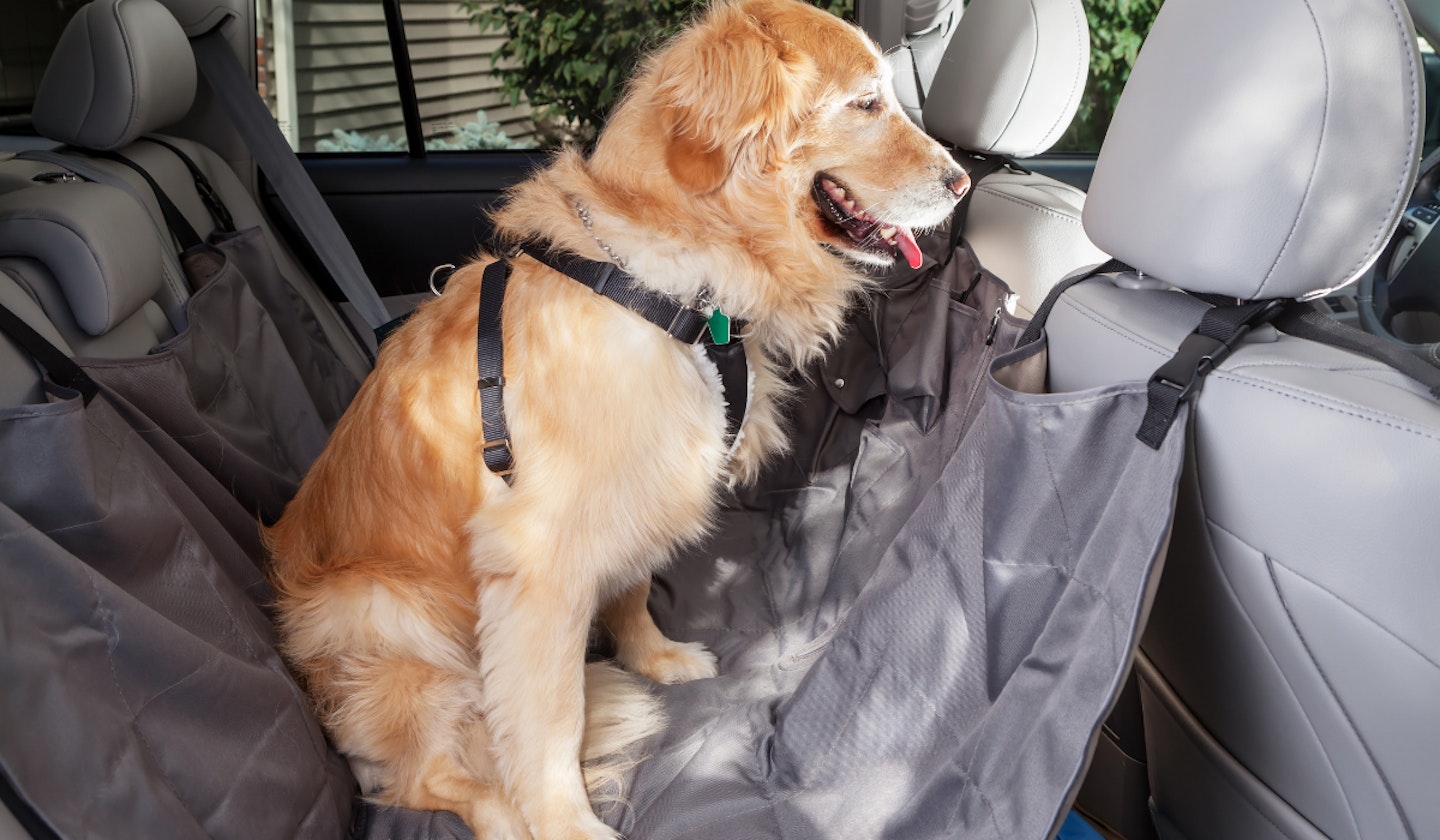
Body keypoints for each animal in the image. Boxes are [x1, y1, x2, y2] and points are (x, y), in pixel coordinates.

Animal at [267, 3, 967, 835]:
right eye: (865, 103)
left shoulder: (642, 487)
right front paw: (564, 820)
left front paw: (656, 658)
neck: (673, 289)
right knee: (429, 775)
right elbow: (550, 718)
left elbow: (632, 591)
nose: (962, 181)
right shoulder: (538, 562)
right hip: (381, 613)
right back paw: (501, 813)